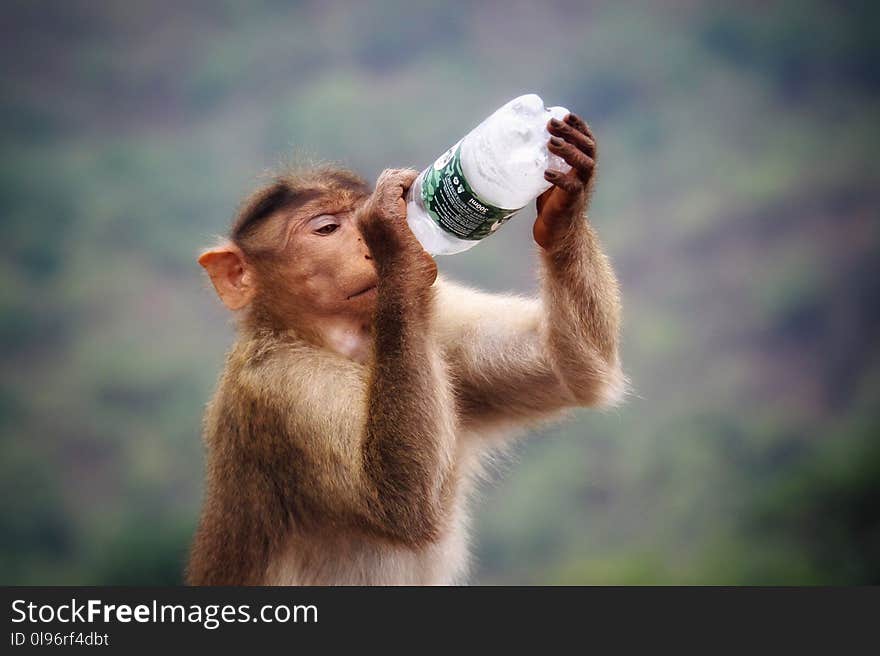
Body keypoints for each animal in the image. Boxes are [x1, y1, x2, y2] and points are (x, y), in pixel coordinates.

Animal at [187, 113, 624, 584]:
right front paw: (393, 236)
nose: (365, 245)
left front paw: (565, 200)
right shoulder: (279, 384)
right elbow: (399, 500)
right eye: (327, 228)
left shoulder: (440, 318)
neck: (338, 341)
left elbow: (570, 369)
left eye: (352, 216)